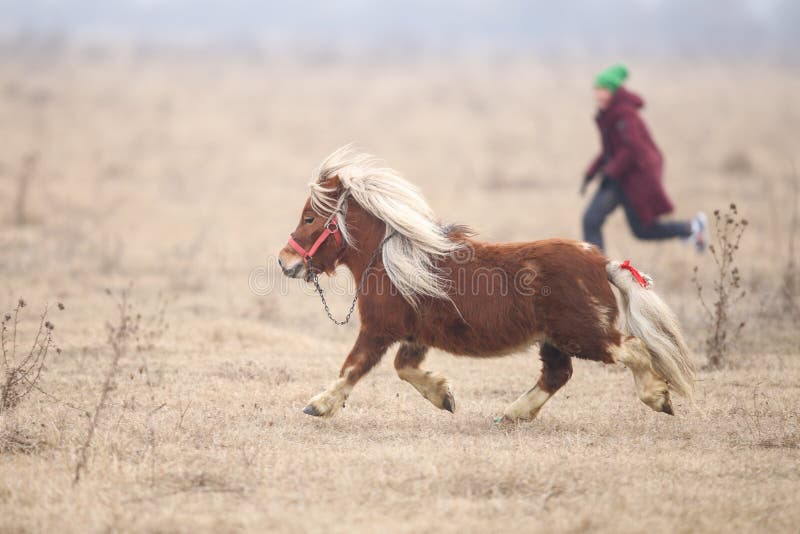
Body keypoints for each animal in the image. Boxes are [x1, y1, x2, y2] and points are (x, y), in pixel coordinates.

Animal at [276, 148, 692, 422]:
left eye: (310, 218)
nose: (285, 261)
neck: (392, 260)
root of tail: (602, 262)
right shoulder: (414, 335)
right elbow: (404, 368)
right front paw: (443, 395)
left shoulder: (378, 329)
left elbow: (354, 367)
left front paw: (319, 405)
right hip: (554, 340)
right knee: (557, 374)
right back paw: (512, 413)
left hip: (583, 334)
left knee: (632, 349)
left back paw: (658, 398)